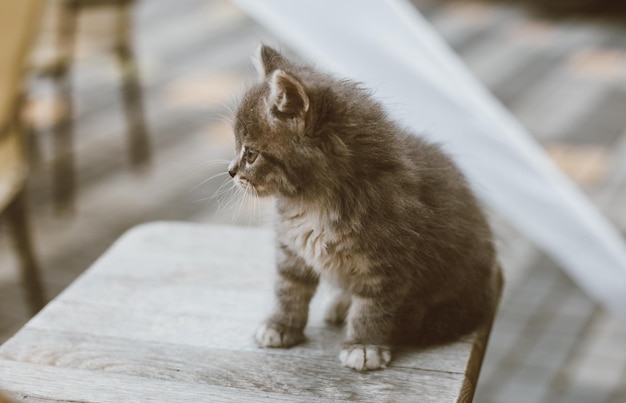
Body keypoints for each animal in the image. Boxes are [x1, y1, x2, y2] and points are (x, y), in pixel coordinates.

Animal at [227, 45, 500, 372]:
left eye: (251, 154)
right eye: (238, 148)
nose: (230, 172)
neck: (314, 202)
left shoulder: (387, 262)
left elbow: (373, 307)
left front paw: (364, 346)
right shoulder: (291, 249)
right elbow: (288, 288)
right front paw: (280, 326)